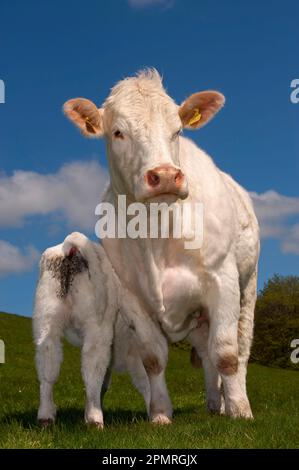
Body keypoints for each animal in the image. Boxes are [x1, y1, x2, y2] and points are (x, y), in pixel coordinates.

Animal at [64, 69, 262, 422]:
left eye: (177, 130)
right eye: (118, 132)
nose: (167, 175)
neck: (157, 234)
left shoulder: (223, 280)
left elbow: (226, 353)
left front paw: (240, 413)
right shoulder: (132, 296)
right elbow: (154, 358)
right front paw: (159, 414)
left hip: (247, 287)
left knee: (239, 347)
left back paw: (231, 403)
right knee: (205, 354)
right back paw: (214, 405)